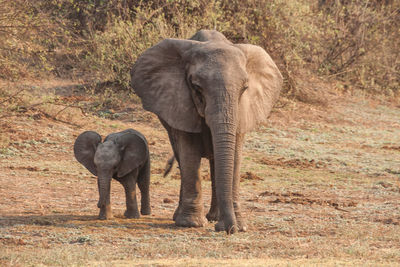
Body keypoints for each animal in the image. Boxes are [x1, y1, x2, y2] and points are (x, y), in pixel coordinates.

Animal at [130, 29, 282, 234]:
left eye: (244, 89)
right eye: (197, 88)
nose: (228, 229)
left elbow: (235, 156)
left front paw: (240, 226)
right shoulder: (180, 103)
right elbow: (189, 153)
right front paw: (191, 223)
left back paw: (214, 217)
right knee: (182, 157)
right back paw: (186, 217)